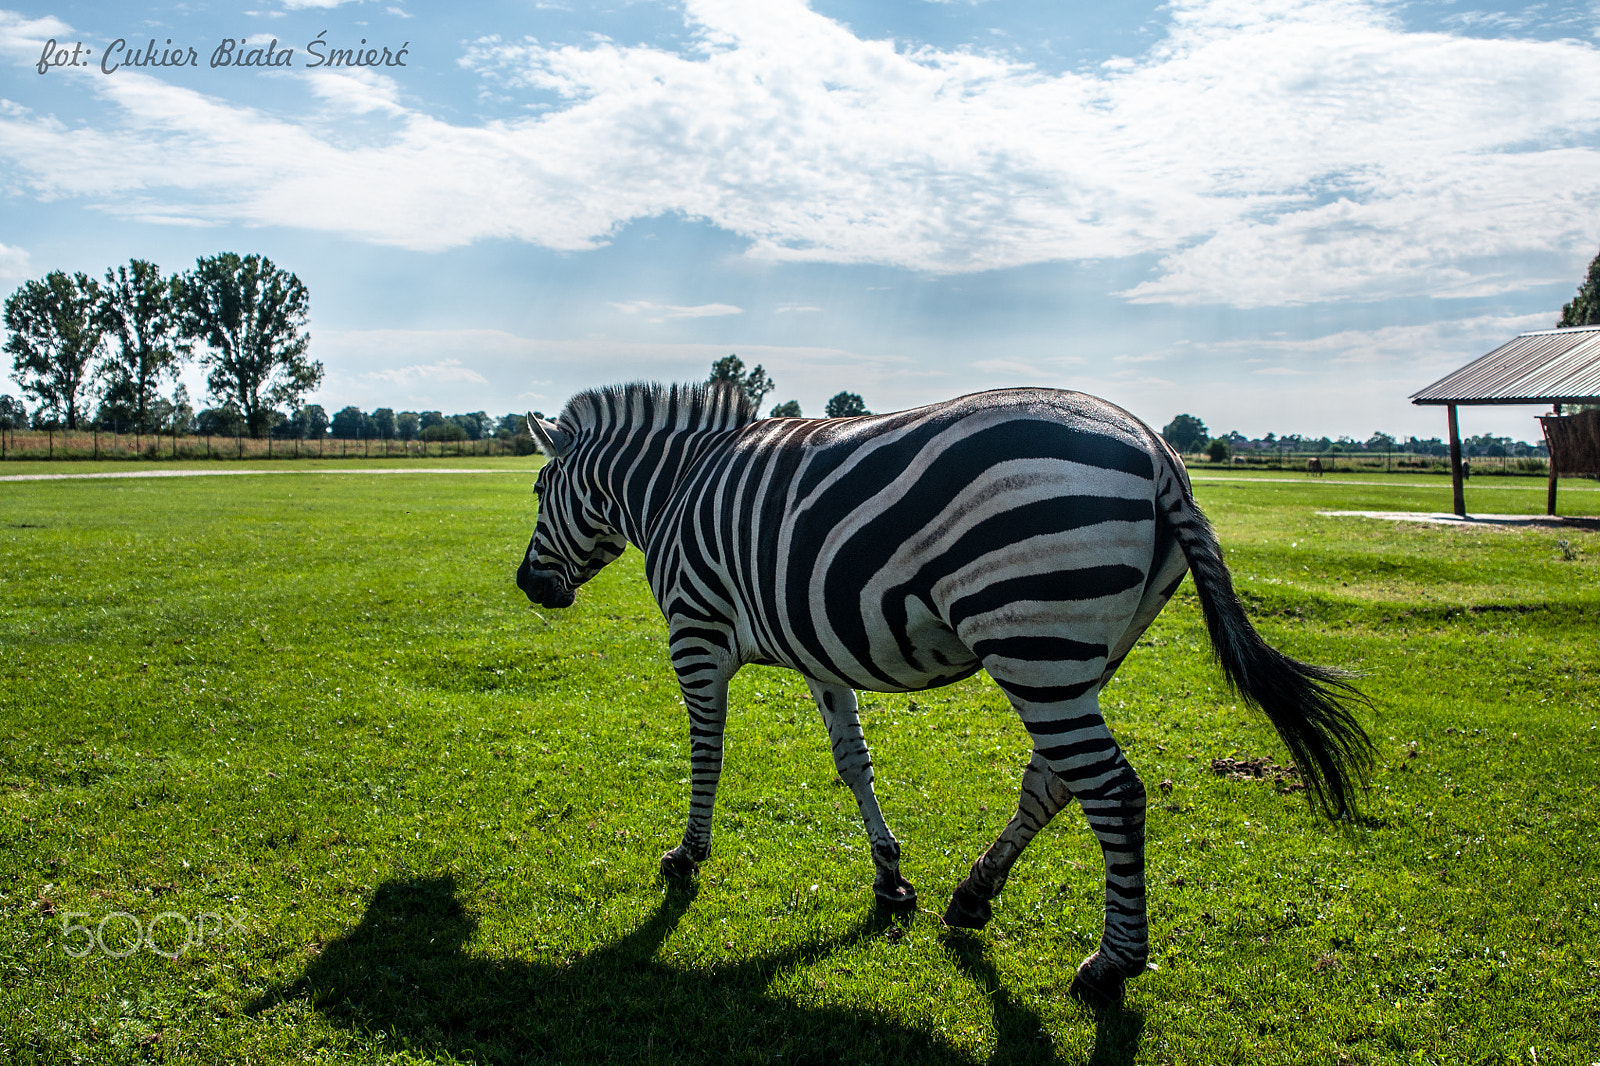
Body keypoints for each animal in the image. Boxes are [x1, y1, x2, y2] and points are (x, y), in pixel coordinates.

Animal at [515, 382, 1372, 1003]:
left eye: (537, 489)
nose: (527, 585)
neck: (673, 490)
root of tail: (1158, 449)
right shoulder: (819, 648)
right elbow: (852, 760)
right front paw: (890, 875)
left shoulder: (694, 634)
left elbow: (706, 755)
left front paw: (687, 856)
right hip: (1077, 655)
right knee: (1055, 780)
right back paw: (973, 895)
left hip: (1031, 636)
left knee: (1115, 793)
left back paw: (1110, 966)